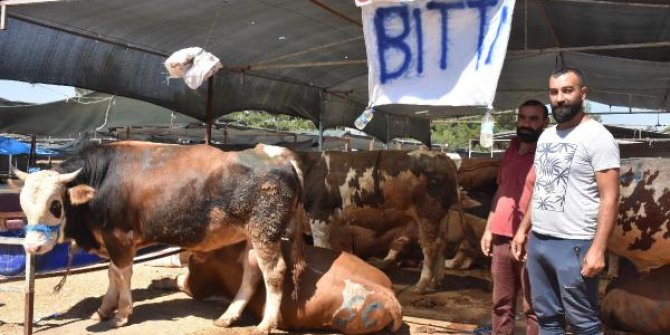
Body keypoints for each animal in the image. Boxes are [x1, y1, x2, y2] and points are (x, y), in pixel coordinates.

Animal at [10, 140, 306, 334]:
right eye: (23, 205)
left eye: (55, 205)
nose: (32, 246)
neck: (100, 181)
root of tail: (277, 153)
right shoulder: (111, 241)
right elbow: (112, 274)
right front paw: (104, 309)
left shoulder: (120, 239)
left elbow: (122, 275)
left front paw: (121, 314)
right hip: (250, 236)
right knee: (252, 272)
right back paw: (228, 316)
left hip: (265, 232)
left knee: (274, 273)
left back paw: (265, 324)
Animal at [300, 151, 462, 292]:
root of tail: (444, 157)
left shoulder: (319, 215)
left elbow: (321, 247)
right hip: (441, 218)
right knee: (441, 243)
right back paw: (435, 282)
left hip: (427, 215)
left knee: (430, 247)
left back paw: (420, 285)